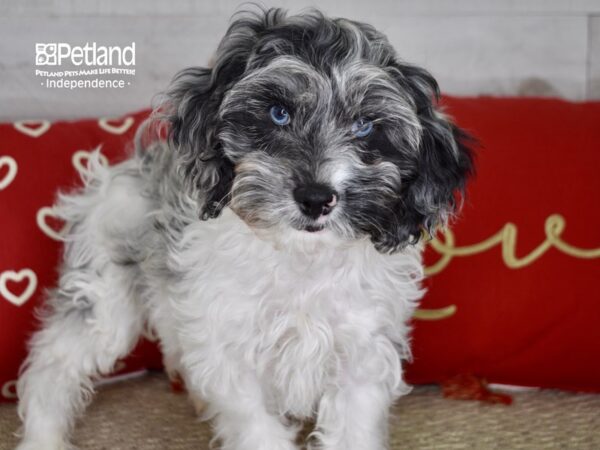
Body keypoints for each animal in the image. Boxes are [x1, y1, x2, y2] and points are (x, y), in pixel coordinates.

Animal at [16, 7, 474, 450]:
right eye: (278, 114)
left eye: (364, 126)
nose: (315, 197)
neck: (300, 256)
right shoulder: (228, 352)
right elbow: (254, 425)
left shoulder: (362, 352)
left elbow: (353, 427)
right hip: (105, 295)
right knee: (54, 361)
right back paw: (43, 438)